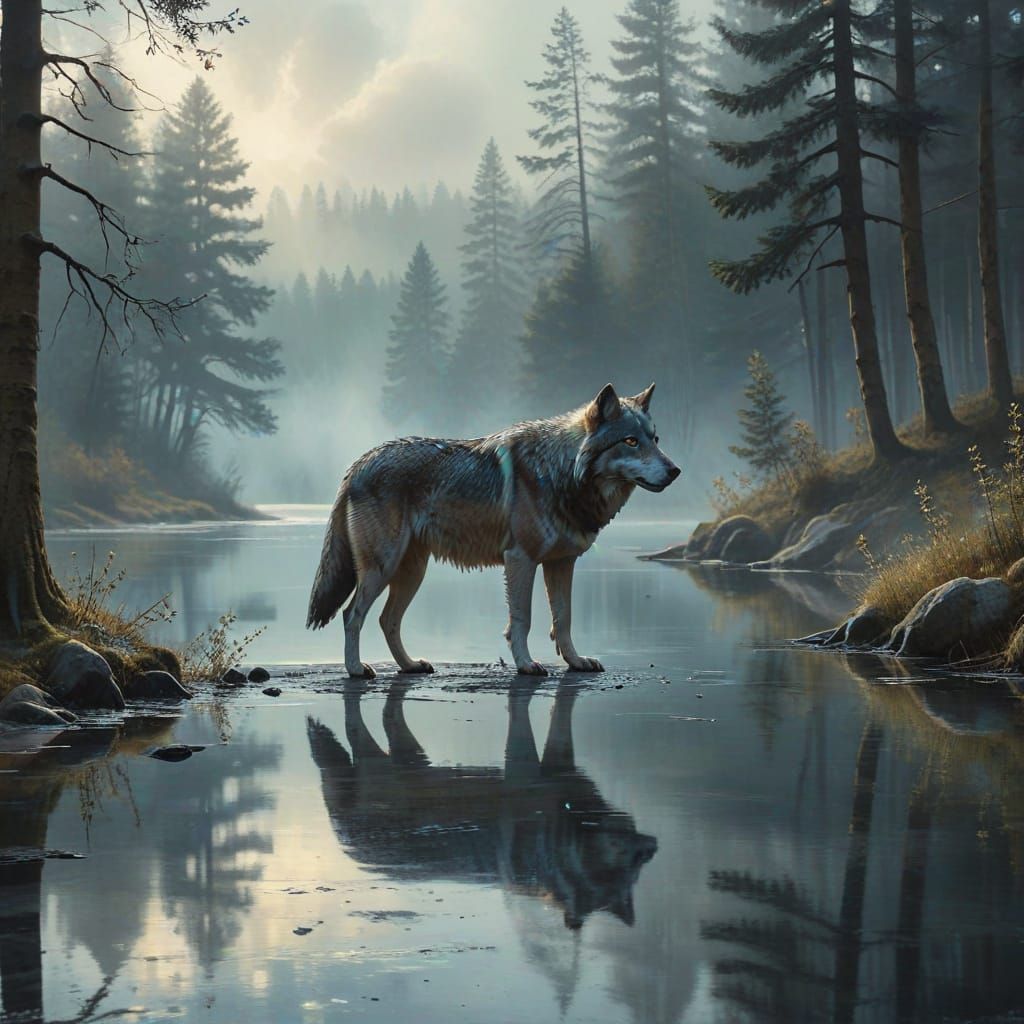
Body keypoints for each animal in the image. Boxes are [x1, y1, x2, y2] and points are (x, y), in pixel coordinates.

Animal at [307, 382, 680, 677]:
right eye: (630, 441)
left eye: (655, 439)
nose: (675, 471)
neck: (562, 473)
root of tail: (358, 463)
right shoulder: (520, 559)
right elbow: (522, 620)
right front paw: (526, 664)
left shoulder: (562, 563)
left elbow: (564, 619)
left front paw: (575, 662)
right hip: (381, 568)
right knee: (351, 615)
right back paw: (356, 669)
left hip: (412, 572)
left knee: (387, 620)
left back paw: (410, 665)